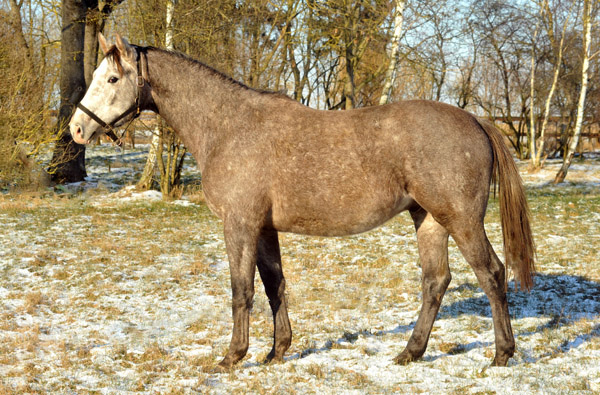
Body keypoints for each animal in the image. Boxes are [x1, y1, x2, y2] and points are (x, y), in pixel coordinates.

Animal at [68, 34, 532, 372]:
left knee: (492, 274)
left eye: (112, 80)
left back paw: (501, 354)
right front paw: (277, 351)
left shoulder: (239, 225)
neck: (228, 126)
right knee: (436, 282)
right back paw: (410, 353)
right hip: (430, 219)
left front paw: (232, 356)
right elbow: (275, 285)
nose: (76, 129)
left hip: (461, 220)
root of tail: (476, 120)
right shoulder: (264, 229)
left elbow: (241, 290)